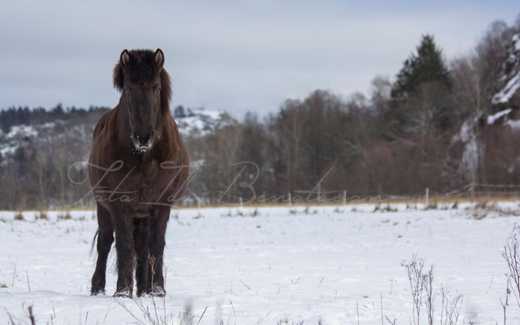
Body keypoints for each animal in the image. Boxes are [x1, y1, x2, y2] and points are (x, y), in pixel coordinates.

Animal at [89, 48, 189, 296]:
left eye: (155, 86)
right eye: (128, 88)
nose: (143, 137)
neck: (144, 157)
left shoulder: (161, 205)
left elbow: (156, 245)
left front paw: (157, 289)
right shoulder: (119, 203)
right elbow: (123, 245)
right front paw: (123, 291)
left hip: (142, 214)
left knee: (142, 247)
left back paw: (144, 288)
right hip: (103, 206)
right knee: (105, 242)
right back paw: (97, 288)